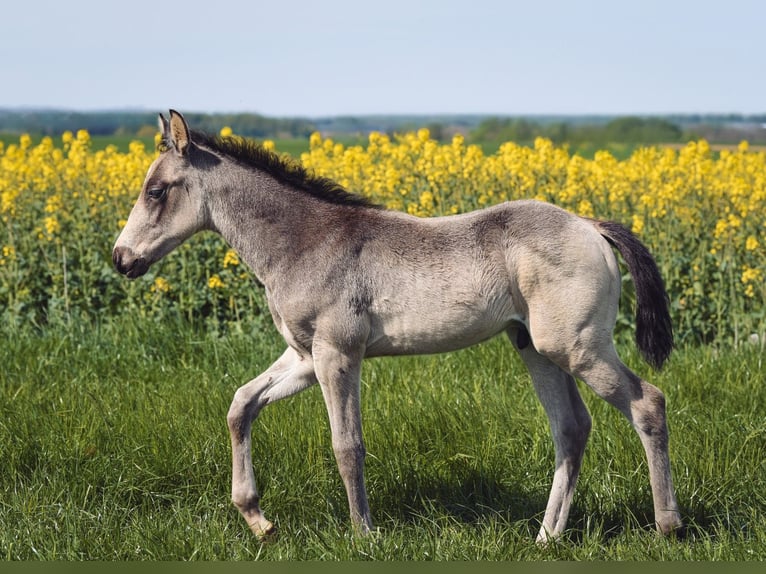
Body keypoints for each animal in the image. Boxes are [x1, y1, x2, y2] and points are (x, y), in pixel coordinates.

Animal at [112, 110, 683, 542]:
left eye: (157, 191)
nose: (121, 259)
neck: (306, 242)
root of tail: (590, 225)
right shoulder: (304, 358)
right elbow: (240, 405)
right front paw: (258, 520)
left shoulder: (338, 354)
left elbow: (347, 445)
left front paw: (363, 535)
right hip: (536, 349)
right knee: (571, 428)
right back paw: (546, 537)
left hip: (576, 347)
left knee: (647, 403)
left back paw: (668, 526)